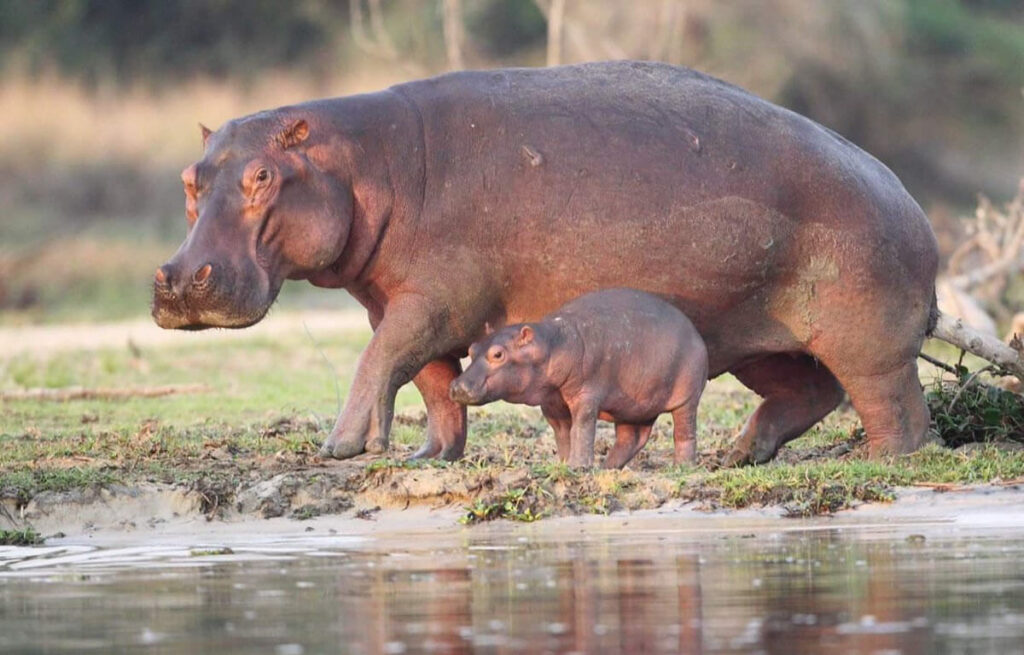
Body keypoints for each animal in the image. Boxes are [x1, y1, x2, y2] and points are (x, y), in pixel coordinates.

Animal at [452, 288, 708, 468]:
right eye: (472, 349)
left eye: (498, 354)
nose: (457, 387)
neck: (551, 344)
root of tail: (695, 333)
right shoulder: (552, 402)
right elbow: (563, 433)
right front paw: (564, 464)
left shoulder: (586, 396)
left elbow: (581, 429)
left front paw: (579, 466)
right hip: (634, 405)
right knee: (631, 438)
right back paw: (608, 468)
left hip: (687, 398)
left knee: (684, 432)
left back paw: (682, 467)